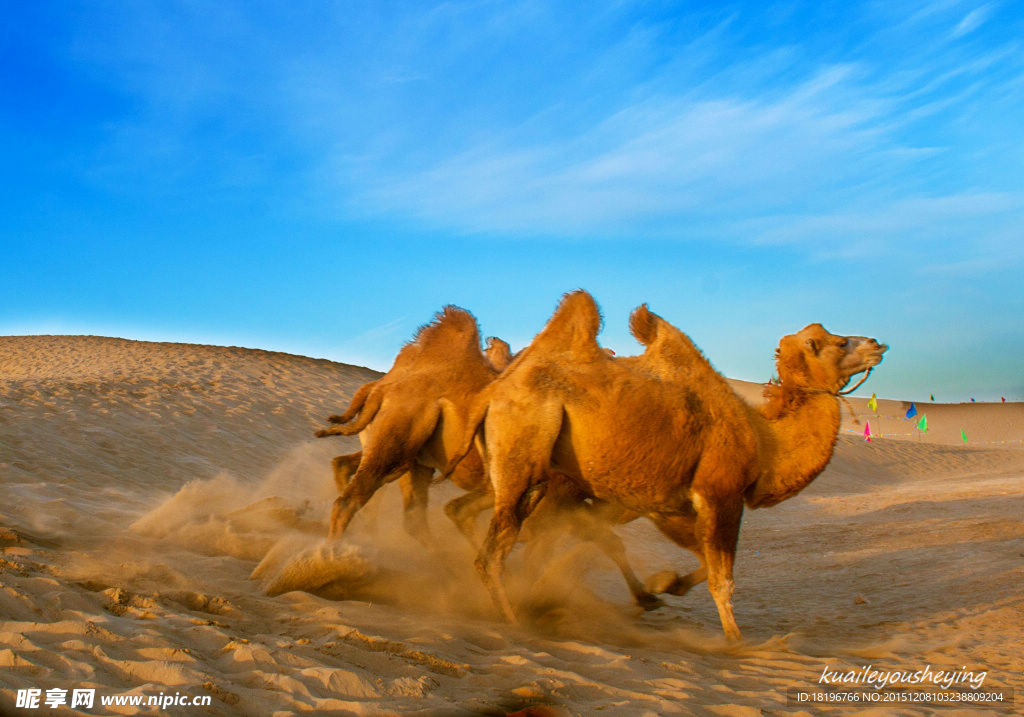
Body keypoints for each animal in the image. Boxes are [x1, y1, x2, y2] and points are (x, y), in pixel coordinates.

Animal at [448, 290, 888, 639]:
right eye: (839, 343)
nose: (876, 342)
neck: (764, 440)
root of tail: (490, 395)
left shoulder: (668, 503)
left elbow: (697, 563)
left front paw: (661, 587)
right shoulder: (720, 493)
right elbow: (722, 577)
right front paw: (737, 643)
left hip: (528, 477)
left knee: (483, 522)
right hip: (529, 462)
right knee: (495, 550)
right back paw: (514, 618)